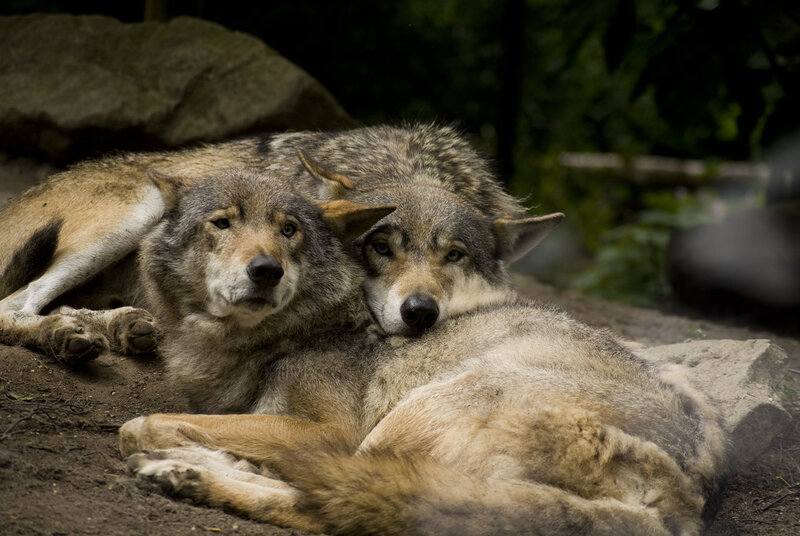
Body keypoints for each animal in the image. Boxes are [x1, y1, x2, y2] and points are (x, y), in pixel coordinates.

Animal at [0, 124, 557, 362]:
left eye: (455, 255)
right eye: (381, 247)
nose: (420, 312)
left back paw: (119, 328)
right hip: (135, 213)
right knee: (17, 304)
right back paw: (65, 334)